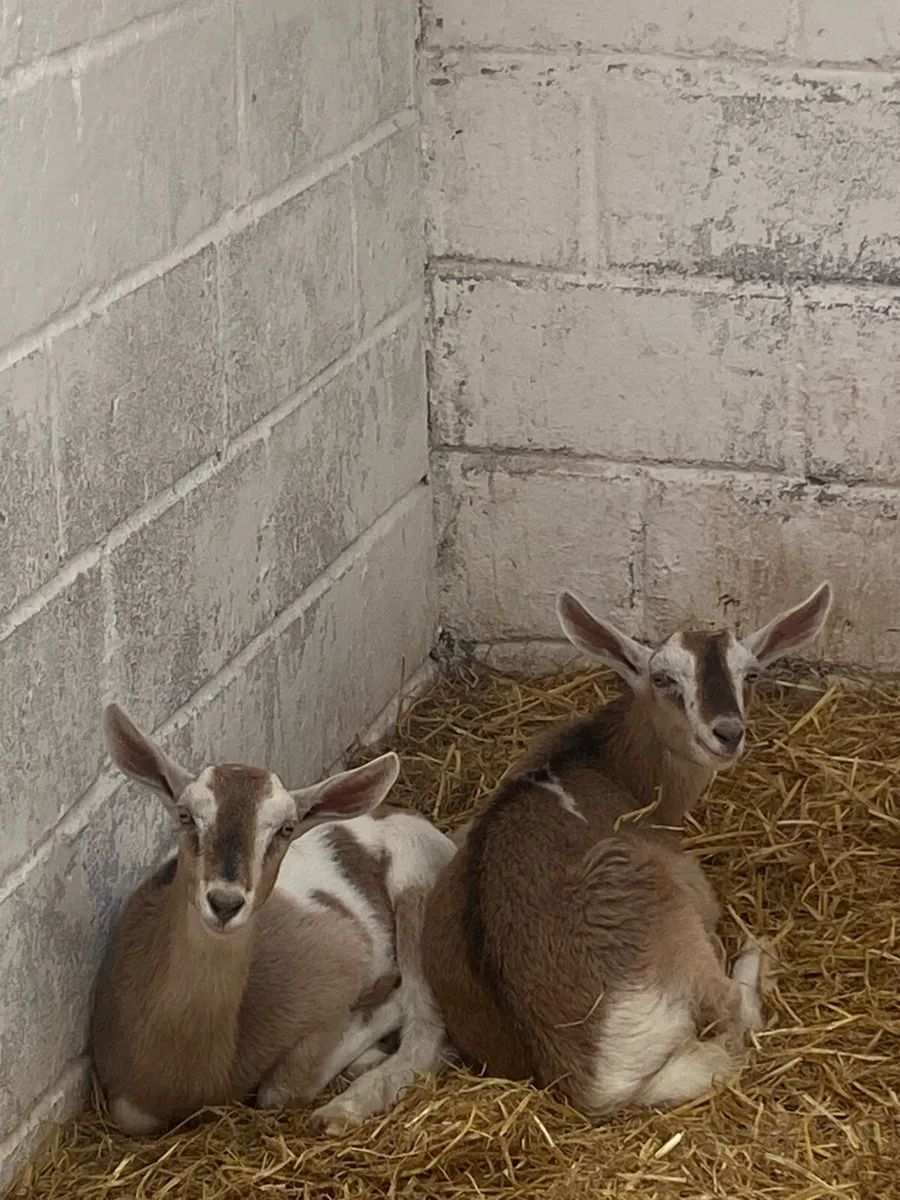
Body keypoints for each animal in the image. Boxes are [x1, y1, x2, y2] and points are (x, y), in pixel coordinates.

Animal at [90, 705, 455, 1136]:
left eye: (285, 828)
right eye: (185, 815)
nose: (225, 902)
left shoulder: (342, 964)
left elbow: (279, 1090)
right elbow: (132, 1114)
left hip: (416, 897)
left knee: (423, 1033)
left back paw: (342, 1109)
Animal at [422, 583, 832, 1117]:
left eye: (752, 674)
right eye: (662, 678)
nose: (727, 733)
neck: (597, 764)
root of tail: (588, 1080)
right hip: (660, 910)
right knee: (734, 1007)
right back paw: (760, 950)